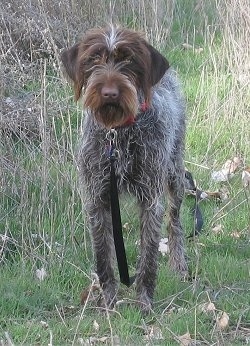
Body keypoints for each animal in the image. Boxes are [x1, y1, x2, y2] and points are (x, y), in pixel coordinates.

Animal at [62, 23, 188, 310]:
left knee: (175, 221)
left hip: (175, 175)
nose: (109, 93)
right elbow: (103, 257)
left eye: (129, 60)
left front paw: (145, 303)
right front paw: (108, 303)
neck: (117, 133)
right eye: (94, 59)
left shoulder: (151, 199)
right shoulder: (97, 198)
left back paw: (179, 264)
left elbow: (148, 256)